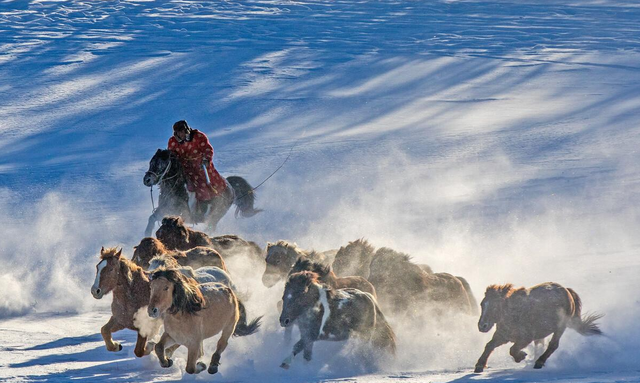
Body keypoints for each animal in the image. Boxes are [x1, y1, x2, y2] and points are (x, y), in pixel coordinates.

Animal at [472, 282, 604, 372]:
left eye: (495, 306)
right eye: (482, 304)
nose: (482, 326)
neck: (514, 313)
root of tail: (566, 290)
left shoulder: (525, 338)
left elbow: (513, 349)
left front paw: (522, 356)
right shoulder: (502, 336)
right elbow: (489, 346)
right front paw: (479, 365)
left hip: (560, 327)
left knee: (553, 345)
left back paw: (539, 362)